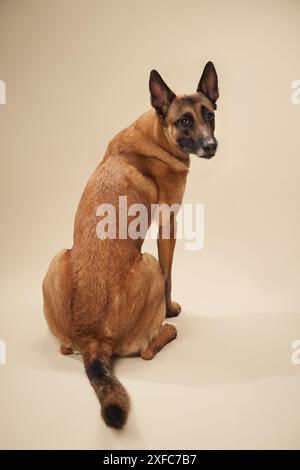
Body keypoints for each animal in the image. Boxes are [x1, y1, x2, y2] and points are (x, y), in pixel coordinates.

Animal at [42, 60, 218, 428]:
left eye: (208, 114)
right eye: (184, 121)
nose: (211, 145)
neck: (157, 133)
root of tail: (93, 339)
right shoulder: (167, 225)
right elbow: (169, 278)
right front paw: (169, 310)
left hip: (57, 258)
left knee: (64, 348)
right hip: (148, 262)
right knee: (147, 351)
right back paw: (166, 331)